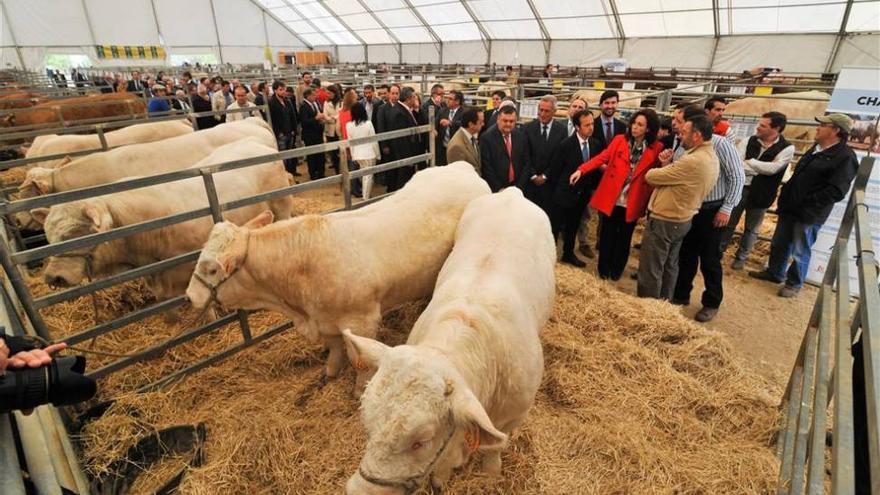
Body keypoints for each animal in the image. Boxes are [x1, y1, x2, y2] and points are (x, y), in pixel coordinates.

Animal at [186, 163, 492, 392]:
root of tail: (461, 168)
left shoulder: (362, 321)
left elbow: (361, 361)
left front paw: (359, 389)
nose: (190, 296)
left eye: (211, 269)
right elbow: (334, 348)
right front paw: (331, 371)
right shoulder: (325, 322)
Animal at [346, 188, 556, 494]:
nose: (360, 491)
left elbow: (495, 447)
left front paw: (491, 473)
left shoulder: (515, 413)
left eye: (420, 442)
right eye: (367, 424)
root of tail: (513, 193)